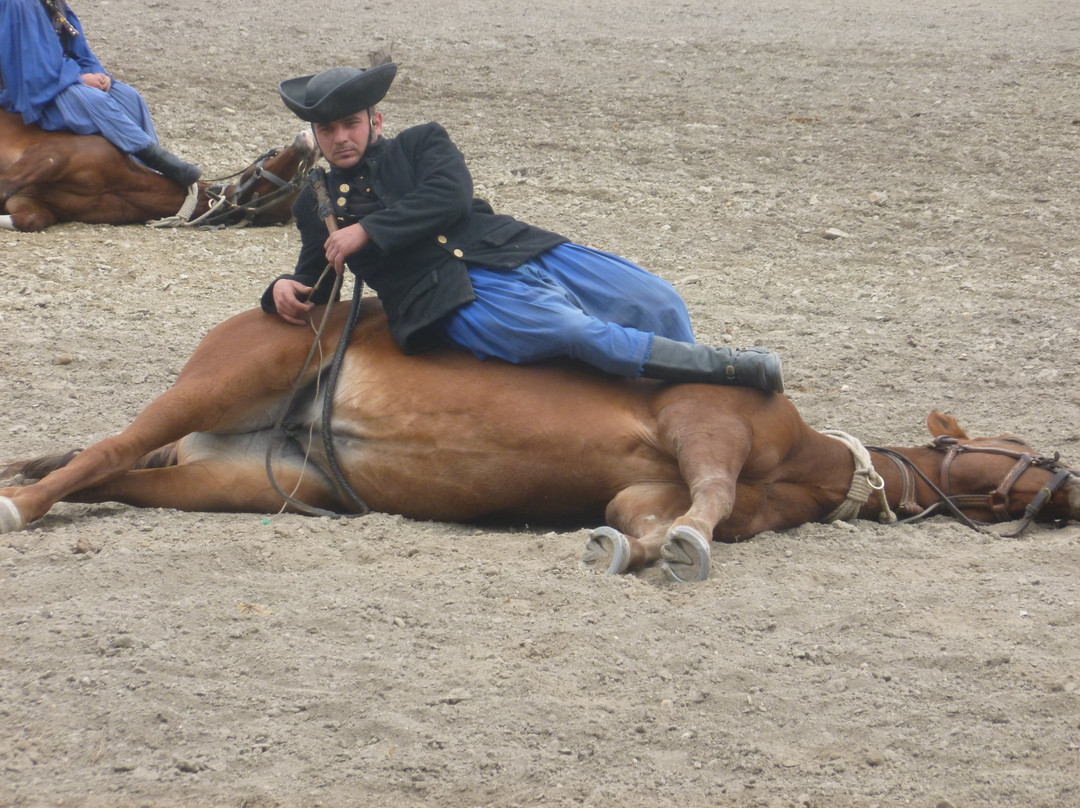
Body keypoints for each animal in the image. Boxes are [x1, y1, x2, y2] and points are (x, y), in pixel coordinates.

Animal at [1, 107, 315, 230]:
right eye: (257, 172)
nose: (307, 141)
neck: (120, 185)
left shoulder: (31, 204)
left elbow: (28, 218)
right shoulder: (48, 157)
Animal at [4, 295, 1075, 578]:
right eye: (1018, 438)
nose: (1068, 480)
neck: (815, 459)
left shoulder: (648, 484)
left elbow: (646, 515)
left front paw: (635, 548)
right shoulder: (705, 422)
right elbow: (711, 494)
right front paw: (681, 546)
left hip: (249, 480)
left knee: (116, 475)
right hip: (221, 381)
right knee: (102, 453)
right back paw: (18, 504)